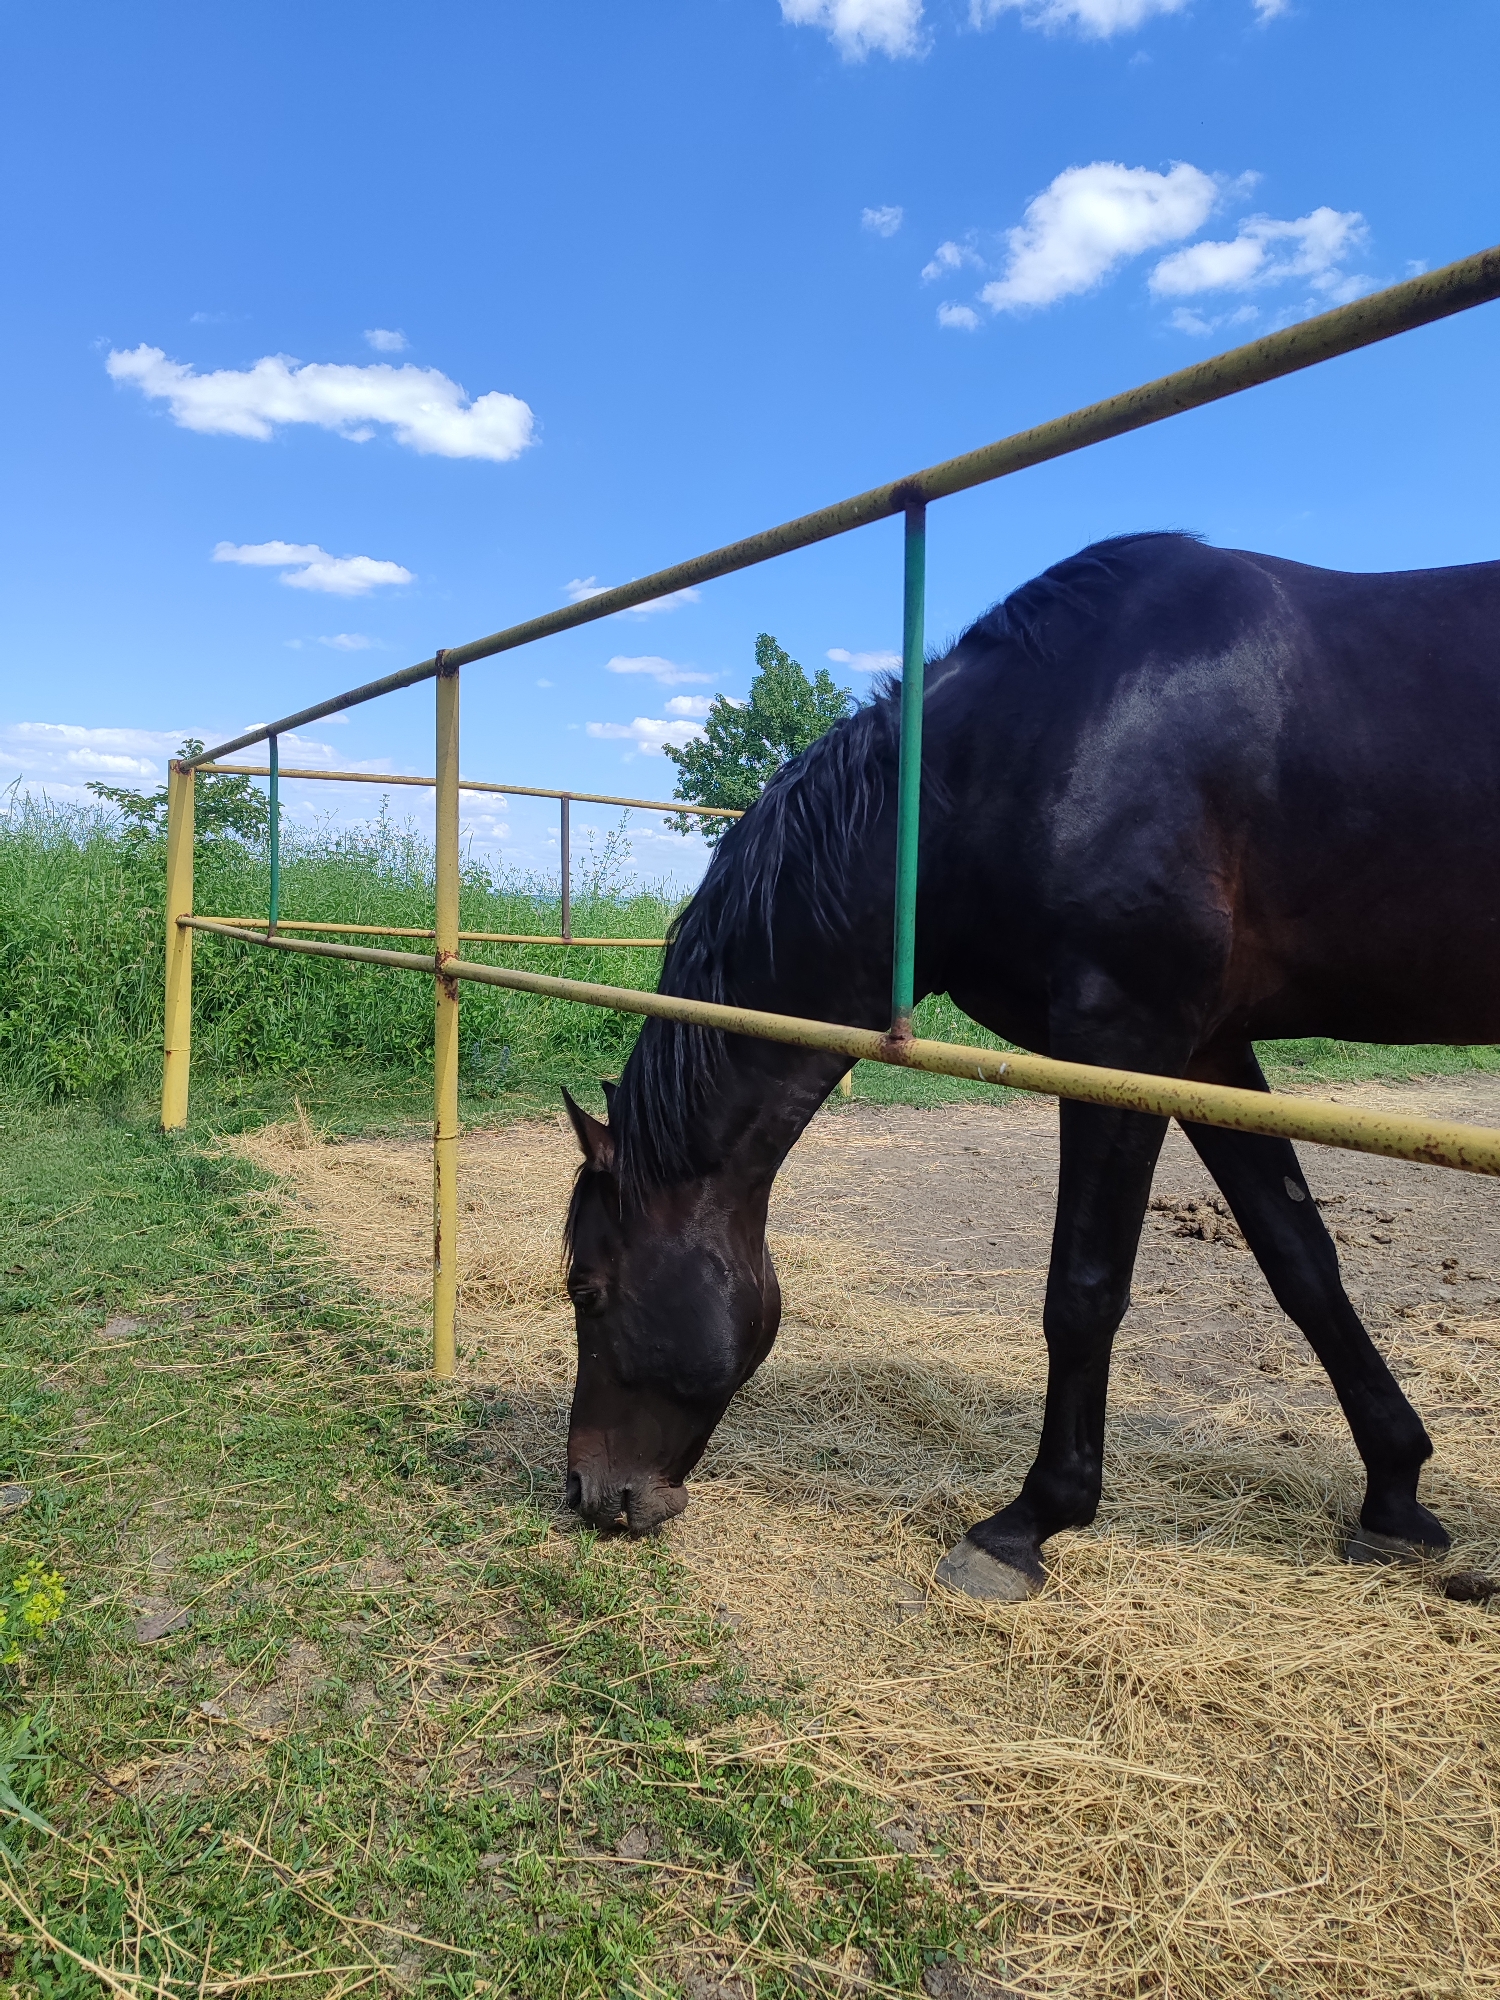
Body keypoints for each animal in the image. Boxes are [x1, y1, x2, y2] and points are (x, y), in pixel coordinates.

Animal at [560, 530, 1500, 1601]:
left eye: (586, 1291)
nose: (590, 1492)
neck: (1026, 749)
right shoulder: (1207, 1052)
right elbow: (1303, 1262)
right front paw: (1395, 1492)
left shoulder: (1121, 1037)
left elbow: (1083, 1289)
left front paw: (1029, 1523)